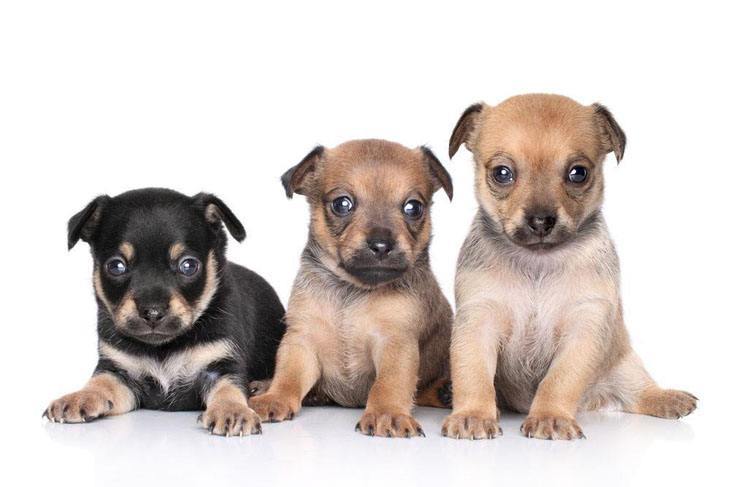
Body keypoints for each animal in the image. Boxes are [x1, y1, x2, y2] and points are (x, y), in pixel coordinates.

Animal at [43, 189, 284, 436]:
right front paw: (79, 397)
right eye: (116, 266)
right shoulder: (119, 372)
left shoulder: (221, 365)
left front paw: (232, 411)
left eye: (188, 265)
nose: (152, 312)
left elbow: (228, 388)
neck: (163, 347)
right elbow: (101, 382)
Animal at [252, 138, 456, 438]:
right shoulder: (301, 340)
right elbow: (288, 374)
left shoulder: (395, 343)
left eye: (413, 208)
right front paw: (274, 397)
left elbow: (389, 383)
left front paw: (387, 413)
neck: (351, 290)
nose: (381, 244)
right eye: (342, 204)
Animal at [440, 94, 696, 442]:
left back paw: (668, 398)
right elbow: (473, 374)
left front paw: (549, 417)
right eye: (502, 173)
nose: (540, 220)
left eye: (579, 173)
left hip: (623, 363)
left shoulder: (584, 327)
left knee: (637, 392)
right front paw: (473, 415)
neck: (538, 262)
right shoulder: (478, 322)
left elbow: (559, 380)